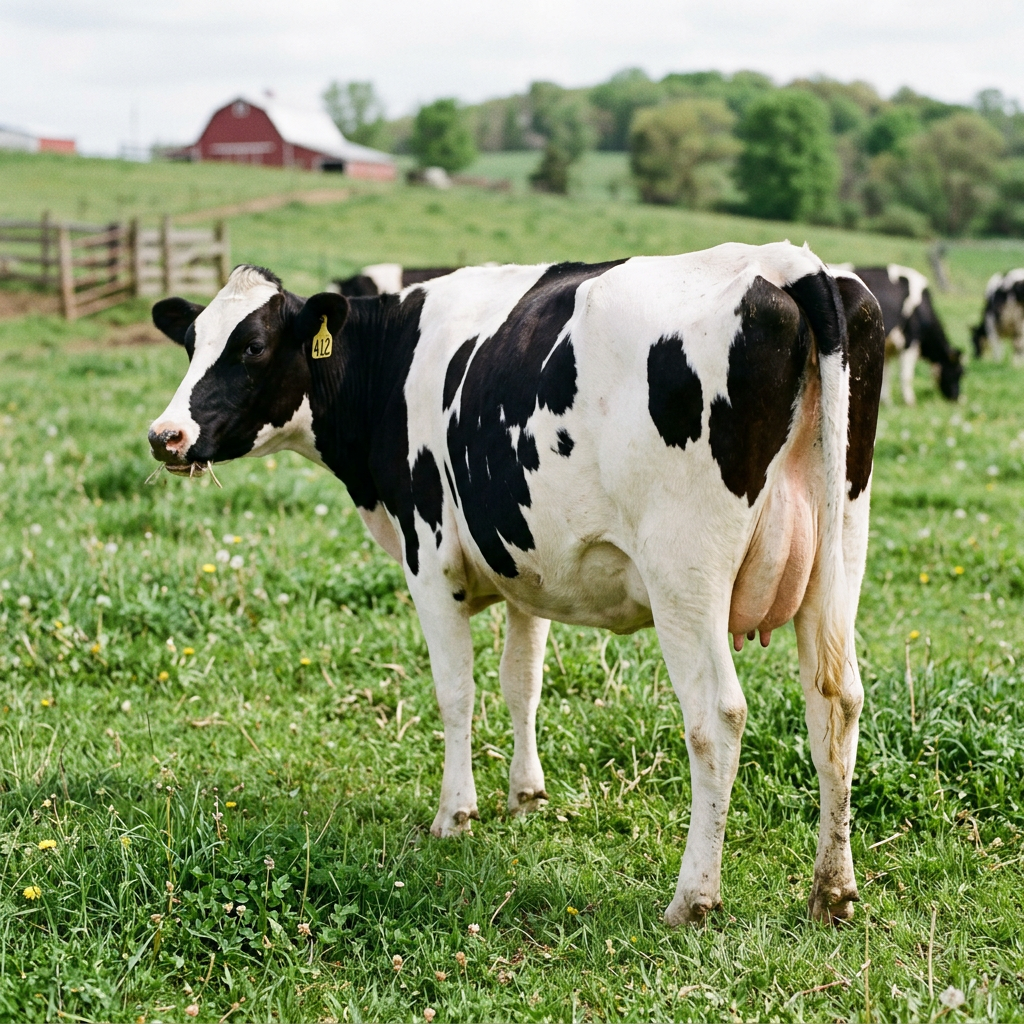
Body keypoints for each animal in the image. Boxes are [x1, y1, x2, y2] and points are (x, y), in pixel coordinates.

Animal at [147, 242, 884, 926]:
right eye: (190, 342)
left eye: (252, 346)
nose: (165, 435)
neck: (391, 362)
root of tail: (785, 262)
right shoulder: (528, 563)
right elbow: (521, 683)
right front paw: (526, 796)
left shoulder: (429, 556)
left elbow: (456, 692)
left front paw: (455, 813)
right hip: (840, 548)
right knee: (836, 700)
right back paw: (833, 890)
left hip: (685, 570)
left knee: (717, 716)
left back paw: (693, 898)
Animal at [851, 265, 962, 405]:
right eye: (958, 372)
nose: (957, 398)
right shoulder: (910, 342)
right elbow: (906, 375)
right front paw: (909, 400)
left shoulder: (887, 348)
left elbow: (886, 373)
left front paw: (886, 400)